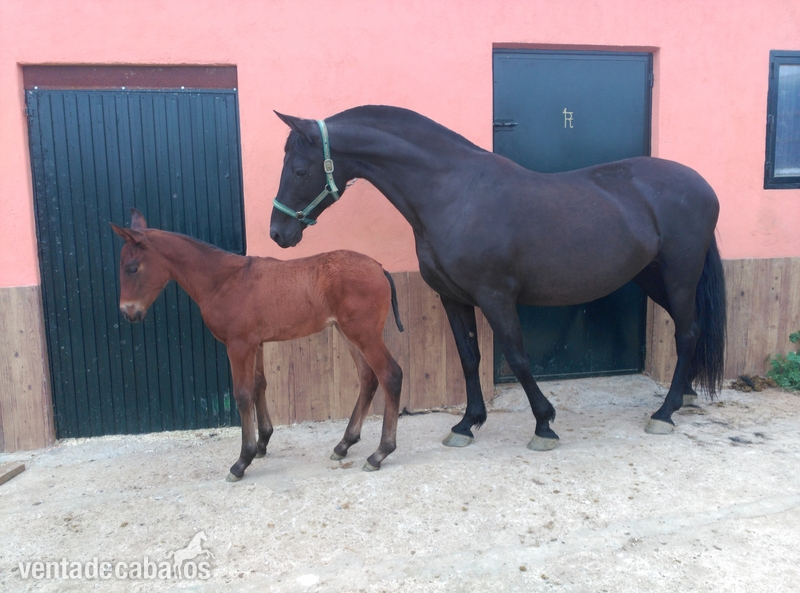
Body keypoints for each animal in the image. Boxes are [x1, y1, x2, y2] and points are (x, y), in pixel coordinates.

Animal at [111, 208, 404, 481]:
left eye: (132, 268)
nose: (127, 313)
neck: (223, 281)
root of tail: (379, 267)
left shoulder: (239, 345)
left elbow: (243, 394)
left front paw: (242, 460)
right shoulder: (257, 344)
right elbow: (259, 385)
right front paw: (263, 442)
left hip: (363, 334)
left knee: (390, 375)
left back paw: (380, 453)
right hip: (348, 333)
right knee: (368, 378)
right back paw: (344, 444)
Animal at [269, 105, 726, 452]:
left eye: (299, 169)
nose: (278, 232)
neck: (453, 194)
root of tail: (703, 185)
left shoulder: (495, 297)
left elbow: (518, 356)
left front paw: (544, 424)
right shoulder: (453, 297)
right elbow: (469, 358)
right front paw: (466, 424)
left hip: (680, 275)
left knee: (687, 332)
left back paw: (664, 413)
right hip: (653, 278)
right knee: (691, 330)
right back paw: (683, 397)